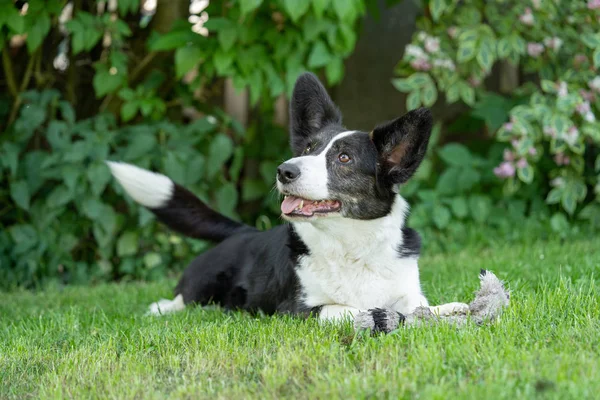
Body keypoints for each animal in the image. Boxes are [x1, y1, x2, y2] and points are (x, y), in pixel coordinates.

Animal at [106, 71, 468, 322]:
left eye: (344, 158)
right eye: (308, 149)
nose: (284, 171)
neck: (351, 247)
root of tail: (243, 231)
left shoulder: (408, 292)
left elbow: (421, 307)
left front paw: (451, 309)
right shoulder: (299, 309)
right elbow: (348, 308)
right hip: (200, 287)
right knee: (181, 301)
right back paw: (161, 308)